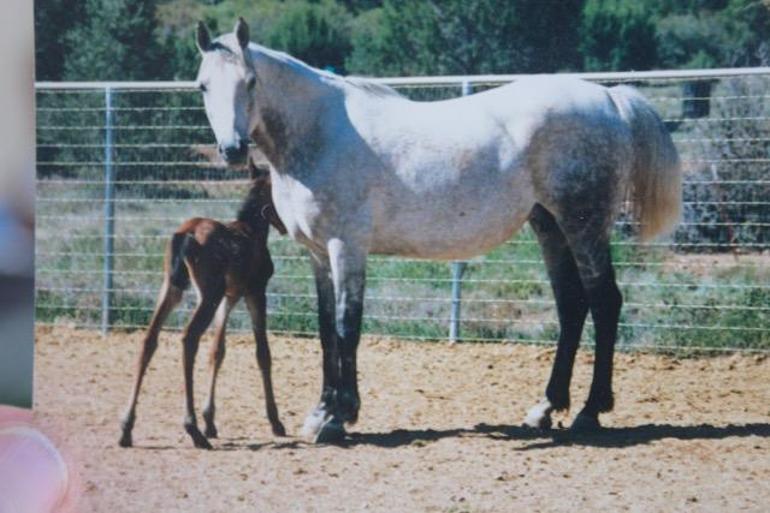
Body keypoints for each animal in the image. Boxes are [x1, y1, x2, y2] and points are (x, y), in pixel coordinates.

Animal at [118, 162, 286, 446]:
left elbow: (217, 351)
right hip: (208, 294)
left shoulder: (229, 297)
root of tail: (185, 236)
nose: (285, 225)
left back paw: (127, 427)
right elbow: (263, 353)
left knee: (150, 339)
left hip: (172, 287)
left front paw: (211, 421)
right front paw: (275, 422)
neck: (253, 229)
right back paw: (192, 427)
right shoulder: (254, 292)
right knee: (189, 338)